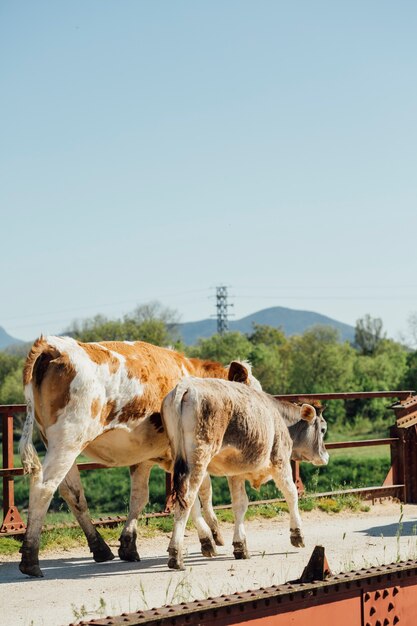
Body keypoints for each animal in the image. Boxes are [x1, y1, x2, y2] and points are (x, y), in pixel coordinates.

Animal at [20, 336, 260, 576]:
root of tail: (53, 344)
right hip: (68, 440)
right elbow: (198, 495)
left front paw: (128, 544)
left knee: (73, 493)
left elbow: (139, 497)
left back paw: (99, 548)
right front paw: (209, 538)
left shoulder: (145, 457)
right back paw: (30, 559)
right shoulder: (186, 453)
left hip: (56, 443)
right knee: (44, 487)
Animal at [162, 378, 328, 568]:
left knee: (192, 503)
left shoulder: (235, 472)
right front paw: (297, 534)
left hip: (180, 458)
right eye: (323, 429)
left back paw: (205, 543)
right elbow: (291, 494)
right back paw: (176, 554)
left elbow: (240, 504)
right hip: (199, 457)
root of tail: (187, 386)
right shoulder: (280, 460)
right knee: (187, 500)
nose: (325, 456)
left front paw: (240, 545)